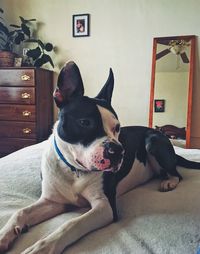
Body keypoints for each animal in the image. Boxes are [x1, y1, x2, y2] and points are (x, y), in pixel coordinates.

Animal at [0, 60, 200, 253]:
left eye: (117, 127)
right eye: (85, 122)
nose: (118, 151)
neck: (73, 170)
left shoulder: (104, 207)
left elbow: (71, 223)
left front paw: (43, 246)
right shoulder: (53, 202)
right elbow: (21, 212)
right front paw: (4, 235)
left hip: (153, 142)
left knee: (177, 173)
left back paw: (169, 181)